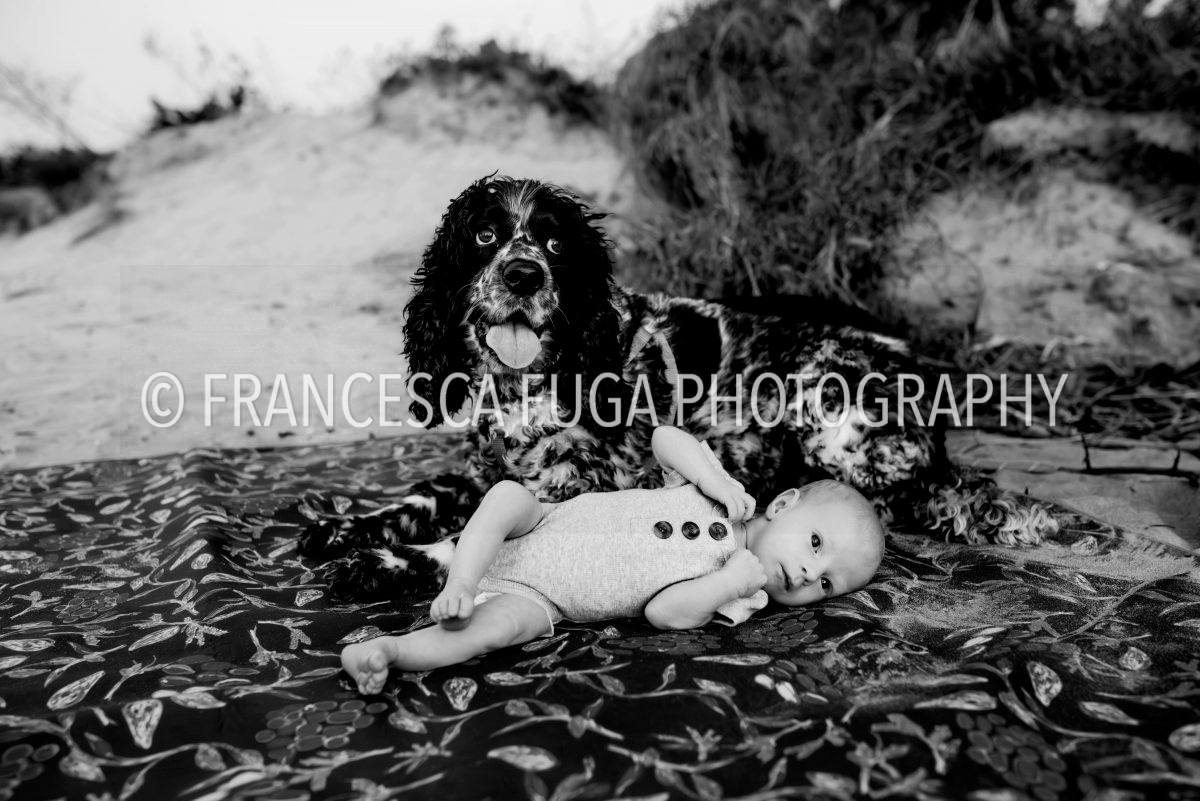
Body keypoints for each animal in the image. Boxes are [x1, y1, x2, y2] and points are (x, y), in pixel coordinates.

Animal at [299, 175, 1058, 598]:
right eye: (485, 236)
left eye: (554, 245)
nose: (521, 274)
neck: (528, 387)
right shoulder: (486, 468)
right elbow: (421, 496)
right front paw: (344, 525)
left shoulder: (580, 489)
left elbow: (473, 540)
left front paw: (384, 564)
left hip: (826, 399)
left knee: (916, 492)